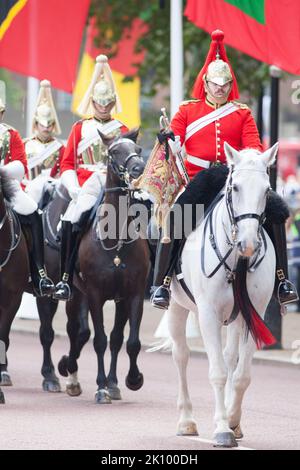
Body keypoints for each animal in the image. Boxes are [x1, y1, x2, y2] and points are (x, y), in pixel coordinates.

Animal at [57, 130, 150, 402]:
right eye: (114, 151)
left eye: (137, 149)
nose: (138, 169)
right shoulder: (95, 294)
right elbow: (98, 339)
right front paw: (100, 388)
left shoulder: (133, 294)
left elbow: (130, 342)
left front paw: (131, 379)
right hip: (76, 294)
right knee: (76, 331)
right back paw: (70, 371)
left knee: (114, 338)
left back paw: (112, 382)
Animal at [165, 143, 278, 448]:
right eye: (235, 187)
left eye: (267, 190)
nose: (248, 244)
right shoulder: (208, 314)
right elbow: (217, 373)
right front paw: (222, 429)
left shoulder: (253, 314)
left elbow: (241, 375)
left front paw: (233, 420)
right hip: (176, 306)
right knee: (181, 355)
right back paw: (186, 420)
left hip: (235, 318)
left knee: (229, 358)